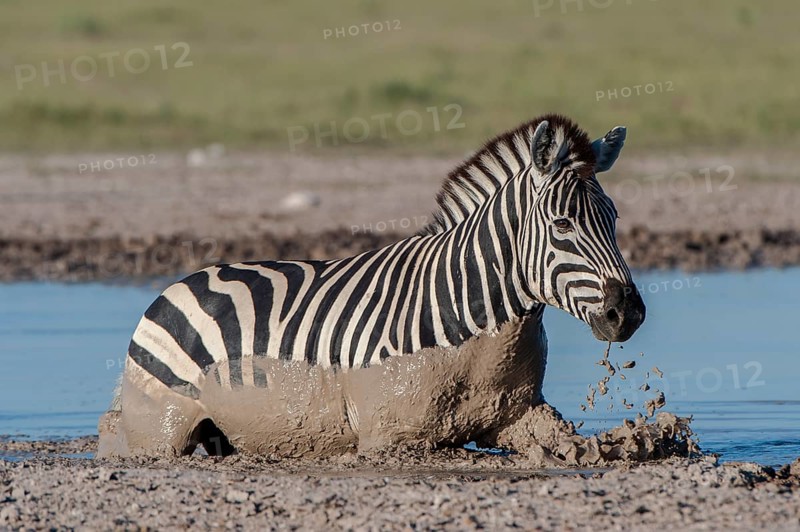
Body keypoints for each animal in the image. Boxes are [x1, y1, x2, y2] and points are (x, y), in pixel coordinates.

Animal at [97, 114, 645, 458]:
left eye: (615, 220)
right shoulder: (391, 436)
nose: (629, 313)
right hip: (161, 431)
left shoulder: (521, 415)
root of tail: (185, 280)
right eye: (562, 225)